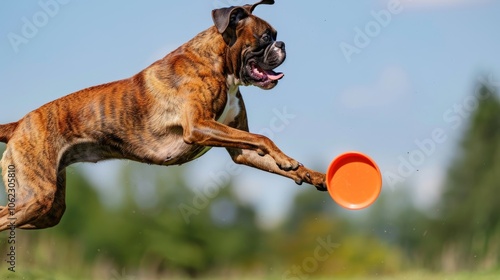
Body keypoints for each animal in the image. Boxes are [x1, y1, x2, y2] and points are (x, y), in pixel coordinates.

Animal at [0, 0, 326, 232]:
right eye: (266, 37)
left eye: (275, 37)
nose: (282, 45)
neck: (218, 64)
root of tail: (19, 124)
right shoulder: (199, 127)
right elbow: (263, 137)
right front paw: (286, 161)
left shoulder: (239, 149)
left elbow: (261, 146)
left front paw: (309, 173)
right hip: (39, 196)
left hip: (48, 208)